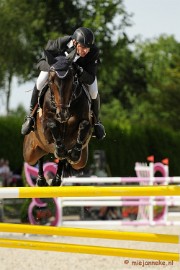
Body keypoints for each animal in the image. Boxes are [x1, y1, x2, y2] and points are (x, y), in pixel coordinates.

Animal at [22, 58, 93, 187]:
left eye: (72, 80)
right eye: (51, 81)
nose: (62, 114)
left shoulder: (85, 122)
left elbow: (84, 125)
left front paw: (74, 154)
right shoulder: (46, 126)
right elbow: (52, 125)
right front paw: (60, 149)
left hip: (81, 161)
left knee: (63, 159)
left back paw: (56, 179)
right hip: (30, 153)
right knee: (40, 156)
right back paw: (41, 180)